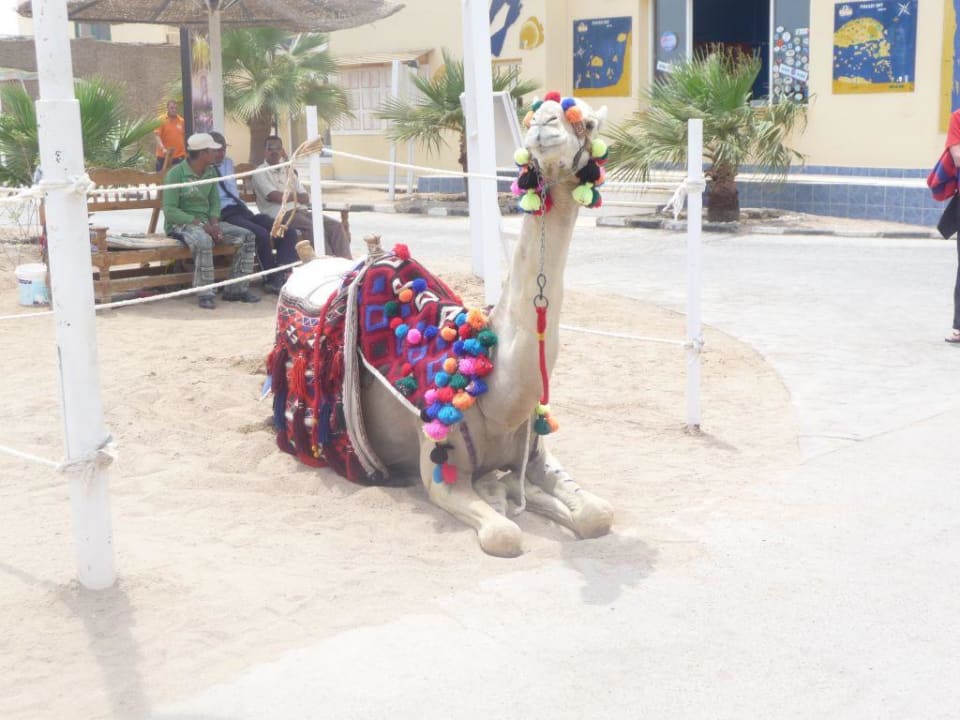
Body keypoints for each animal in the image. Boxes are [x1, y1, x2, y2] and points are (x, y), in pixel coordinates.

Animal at [268, 94, 613, 557]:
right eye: (530, 118)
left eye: (589, 123)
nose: (546, 122)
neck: (493, 390)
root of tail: (307, 258)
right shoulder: (439, 469)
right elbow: (504, 534)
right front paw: (500, 495)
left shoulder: (538, 453)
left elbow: (597, 514)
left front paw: (520, 493)